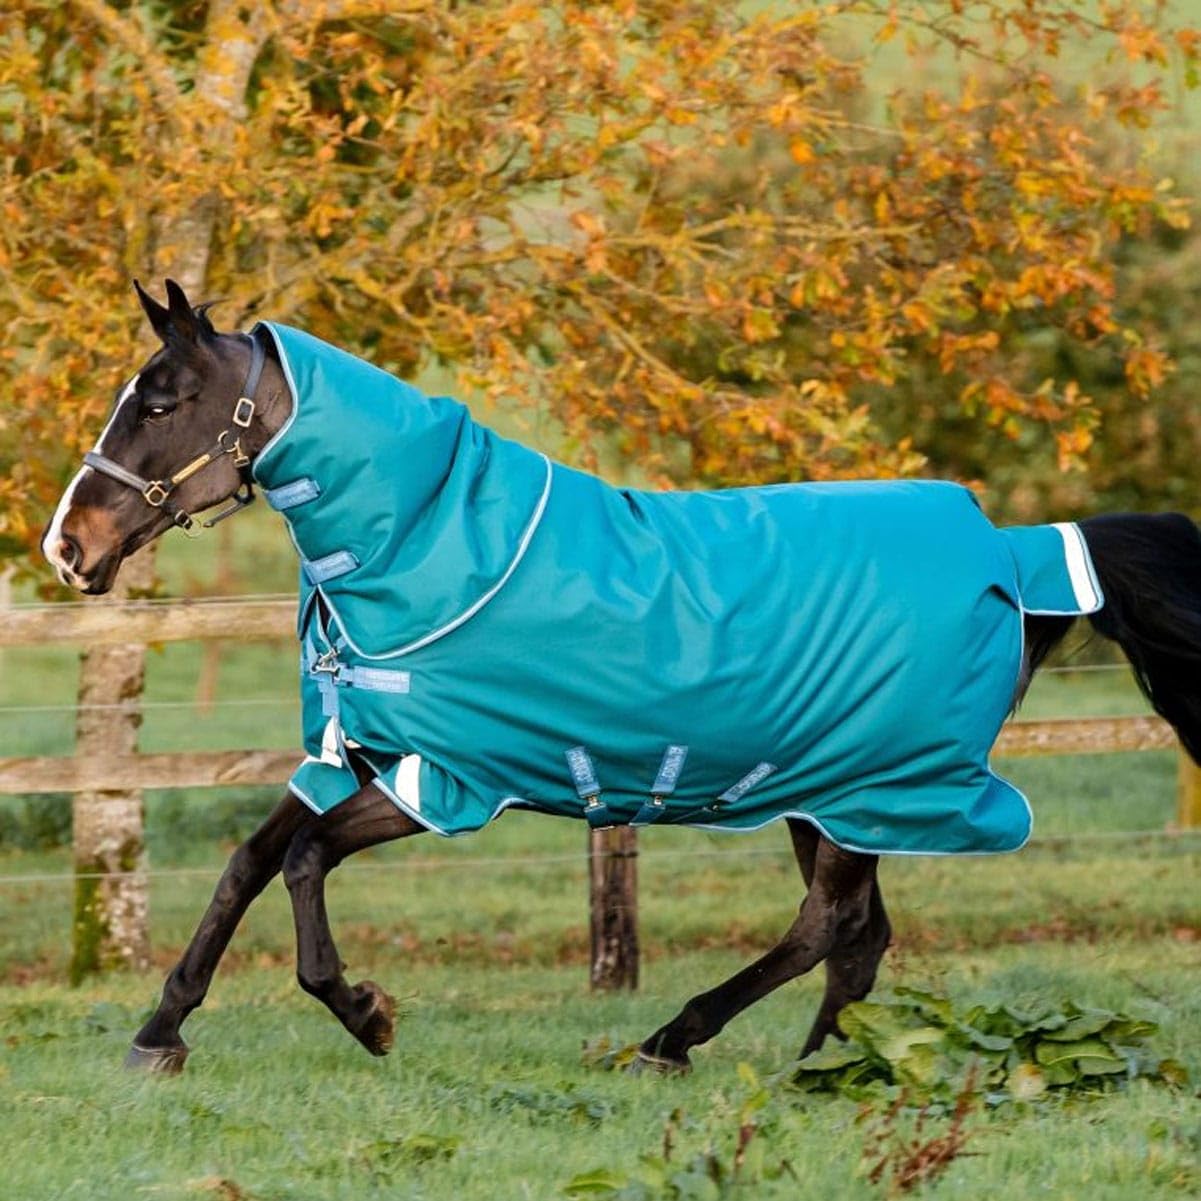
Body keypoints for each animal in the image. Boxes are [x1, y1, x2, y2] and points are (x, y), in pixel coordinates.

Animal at [42, 279, 1201, 1076]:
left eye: (164, 402)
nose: (68, 545)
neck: (429, 542)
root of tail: (1011, 552)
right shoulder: (360, 752)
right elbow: (247, 862)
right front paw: (159, 1032)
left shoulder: (447, 779)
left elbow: (304, 862)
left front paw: (366, 1012)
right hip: (823, 789)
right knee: (856, 937)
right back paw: (815, 1066)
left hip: (868, 787)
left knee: (827, 927)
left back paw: (679, 1040)